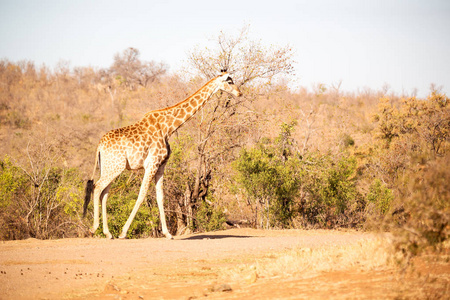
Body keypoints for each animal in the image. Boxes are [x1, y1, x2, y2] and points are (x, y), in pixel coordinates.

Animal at [82, 69, 241, 239]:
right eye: (229, 81)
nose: (240, 92)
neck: (168, 128)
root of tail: (99, 145)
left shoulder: (161, 165)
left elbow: (160, 197)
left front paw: (168, 233)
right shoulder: (151, 163)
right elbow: (142, 194)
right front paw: (124, 232)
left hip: (109, 167)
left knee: (104, 192)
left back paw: (107, 233)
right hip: (116, 167)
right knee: (98, 187)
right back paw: (94, 228)